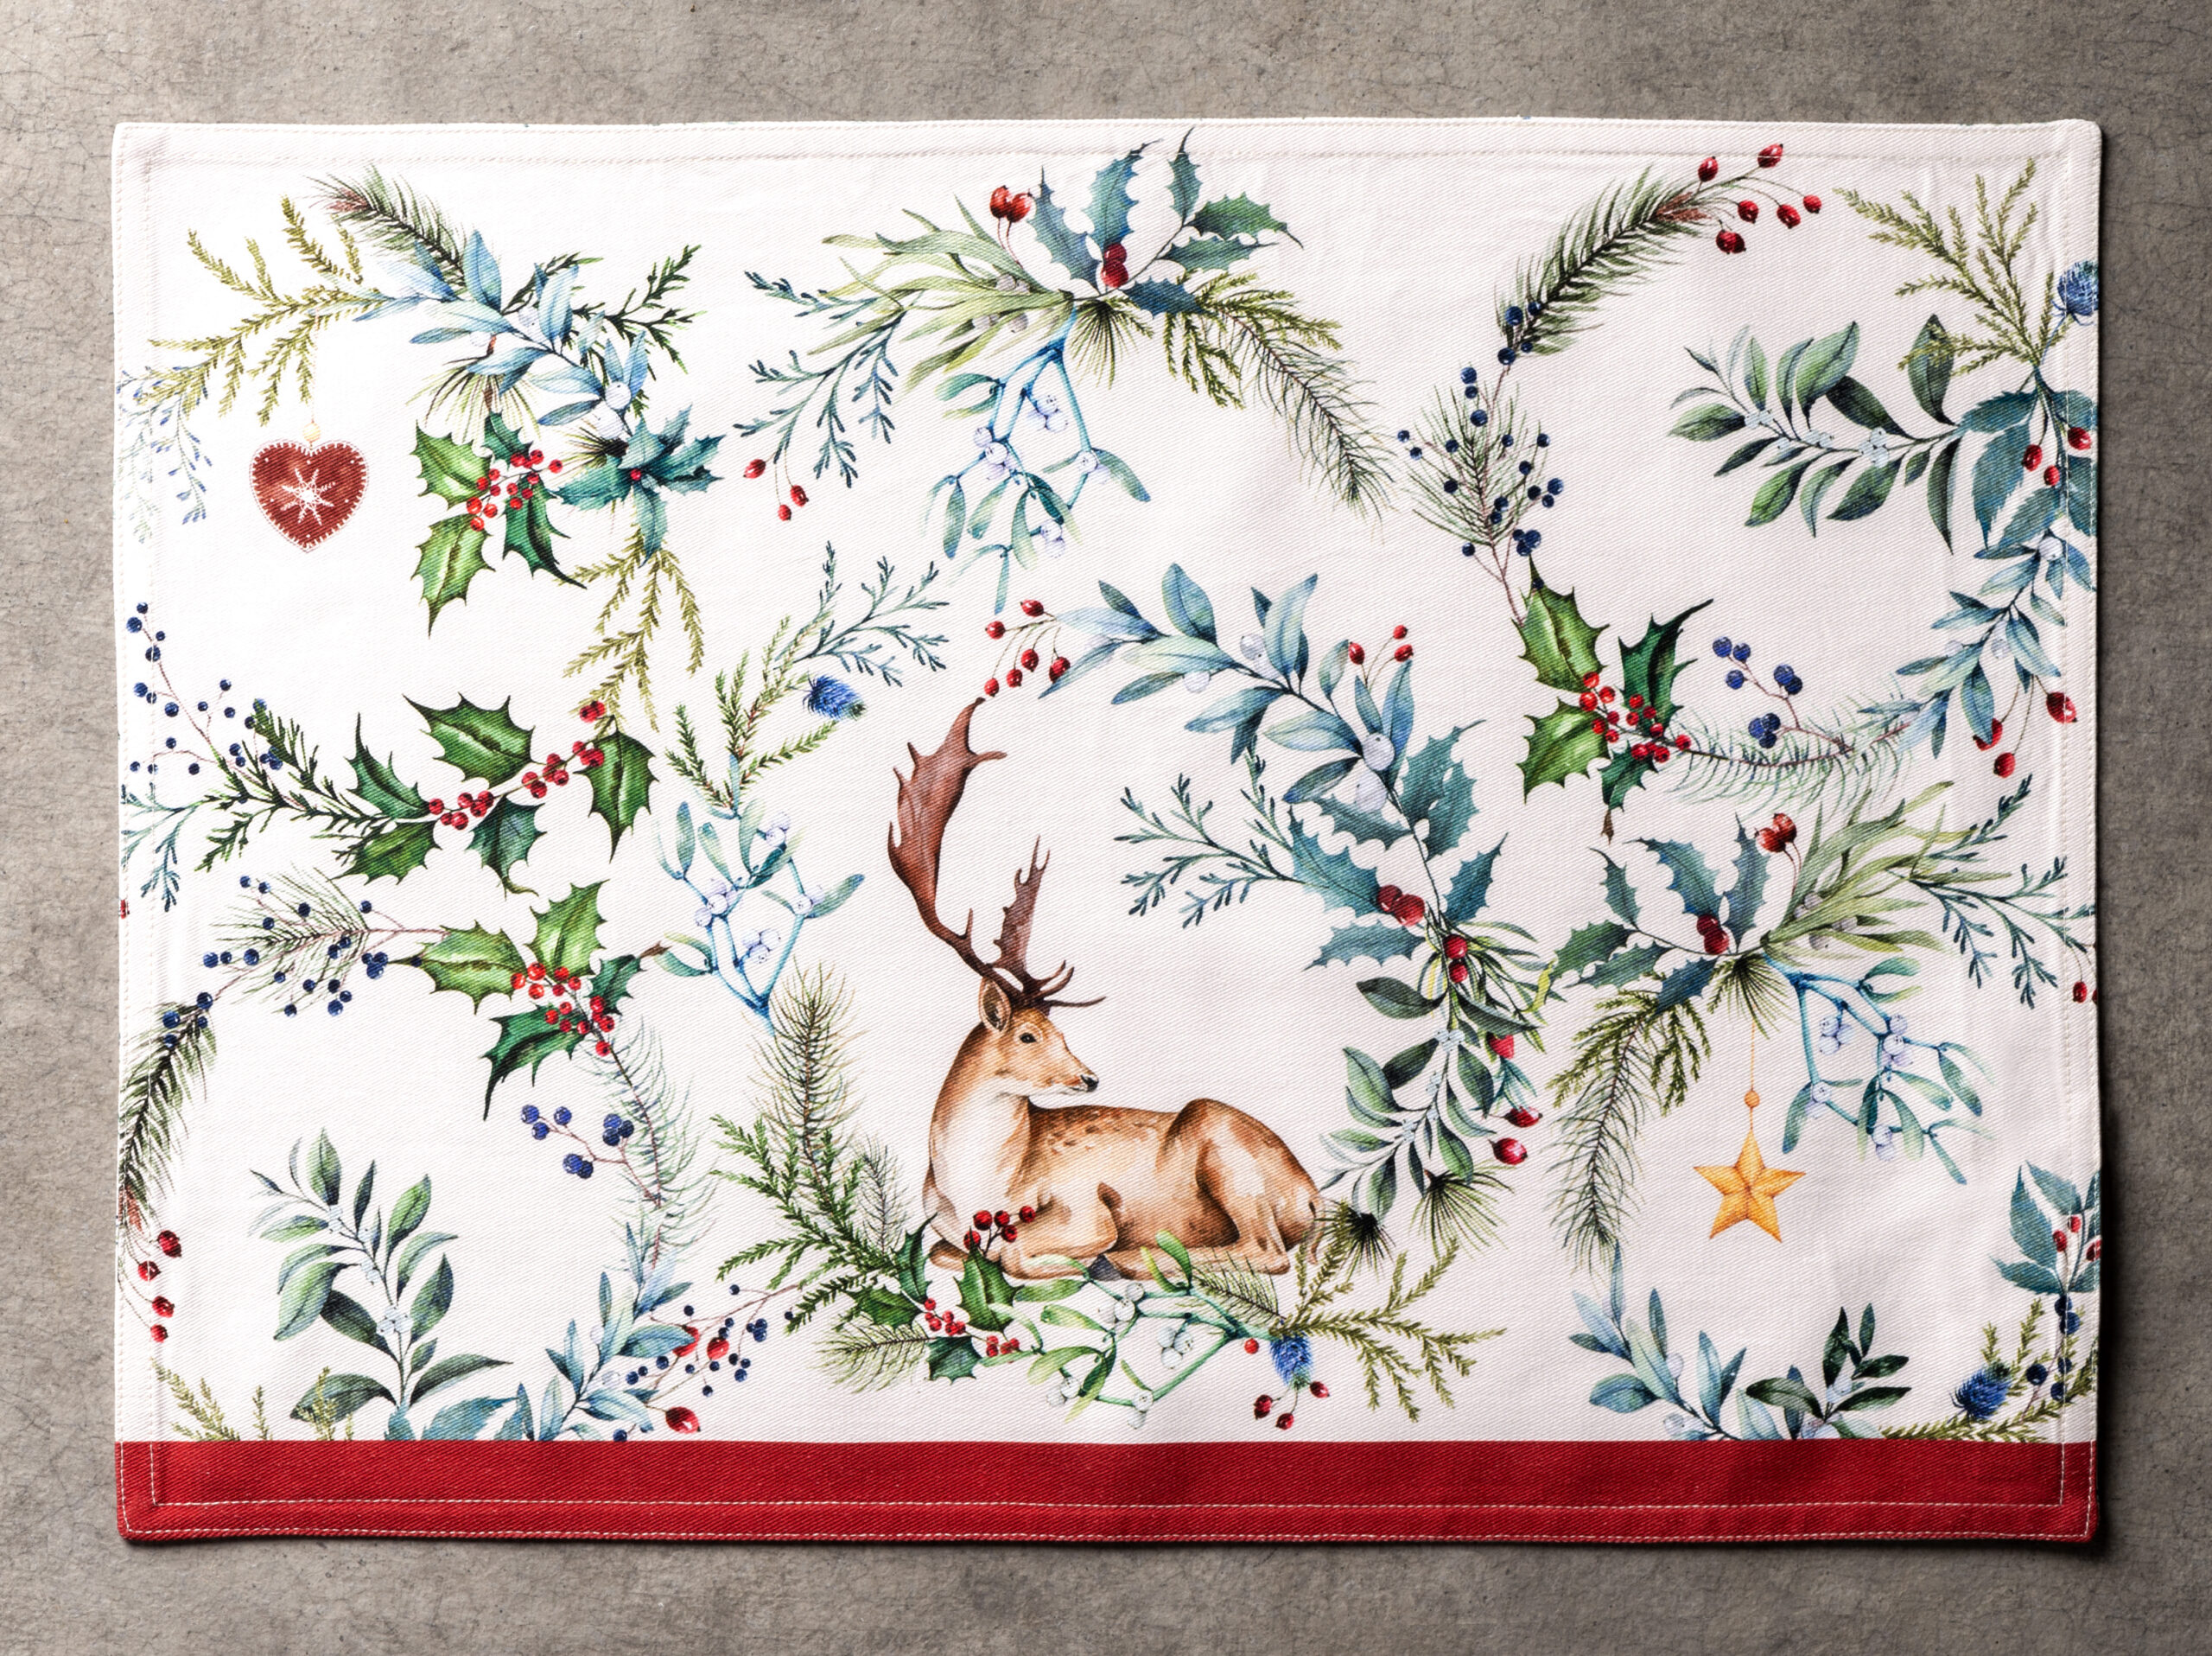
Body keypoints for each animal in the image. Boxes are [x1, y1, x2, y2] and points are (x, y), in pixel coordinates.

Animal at [888, 699, 1321, 1282]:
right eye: (1029, 1035)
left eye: (1060, 1031)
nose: (1089, 1079)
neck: (974, 1189)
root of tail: (1313, 1196)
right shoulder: (941, 1232)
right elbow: (946, 1250)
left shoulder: (1085, 1202)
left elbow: (1016, 1251)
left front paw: (1085, 1257)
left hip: (1223, 1143)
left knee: (1267, 1250)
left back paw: (1129, 1259)